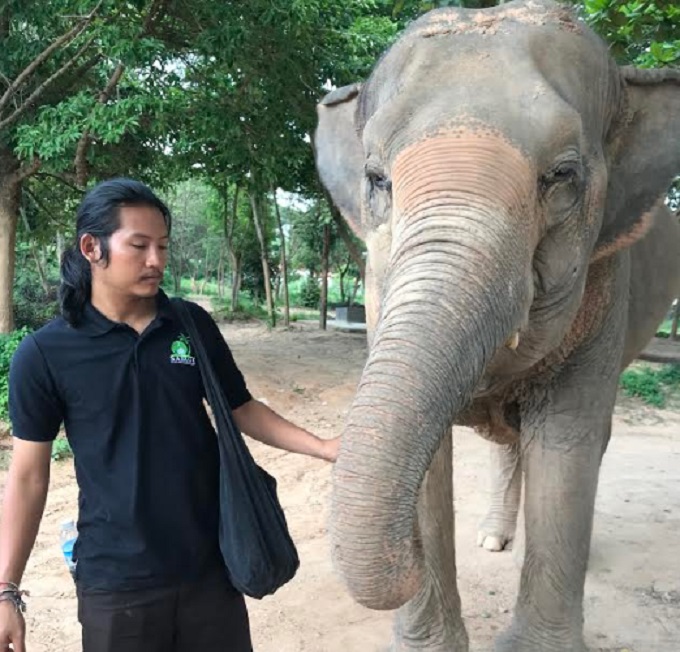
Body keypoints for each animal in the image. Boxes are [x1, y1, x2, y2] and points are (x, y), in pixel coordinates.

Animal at [312, 1, 680, 650]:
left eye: (562, 175)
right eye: (377, 178)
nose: (405, 559)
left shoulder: (608, 286)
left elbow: (565, 445)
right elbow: (428, 461)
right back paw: (493, 539)